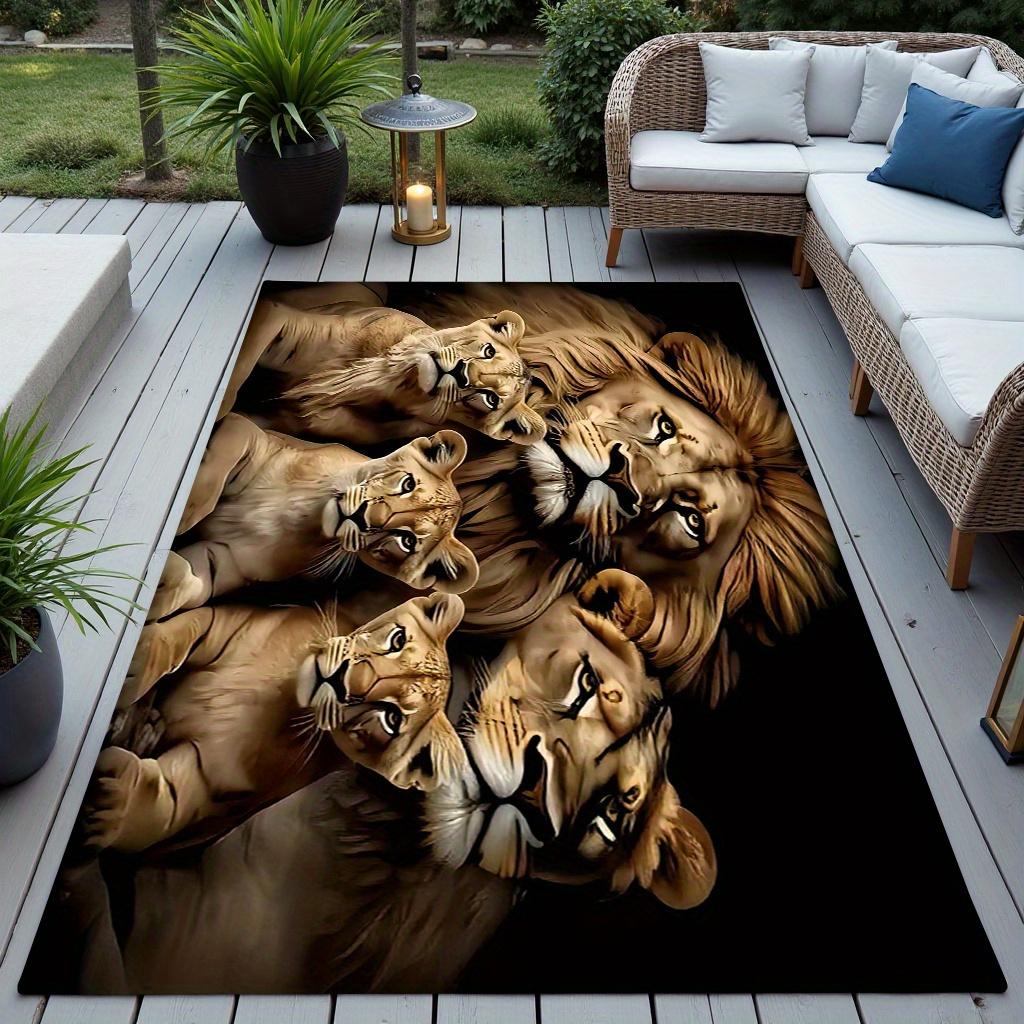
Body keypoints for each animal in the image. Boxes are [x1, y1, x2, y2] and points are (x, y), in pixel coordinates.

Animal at [83, 592, 466, 853]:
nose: (342, 680)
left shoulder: (209, 781)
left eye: (392, 718)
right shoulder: (225, 623)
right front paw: (140, 656)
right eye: (398, 639)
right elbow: (183, 630)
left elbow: (164, 802)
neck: (279, 694)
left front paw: (107, 804)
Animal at [148, 414, 478, 621]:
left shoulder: (227, 562)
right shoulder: (257, 436)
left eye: (407, 541)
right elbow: (231, 444)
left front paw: (152, 602)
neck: (304, 515)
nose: (362, 517)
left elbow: (189, 582)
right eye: (407, 483)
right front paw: (187, 513)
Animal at [219, 283, 545, 446]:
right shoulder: (278, 315)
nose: (459, 372)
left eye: (491, 399)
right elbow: (238, 369)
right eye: (488, 351)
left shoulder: (281, 420)